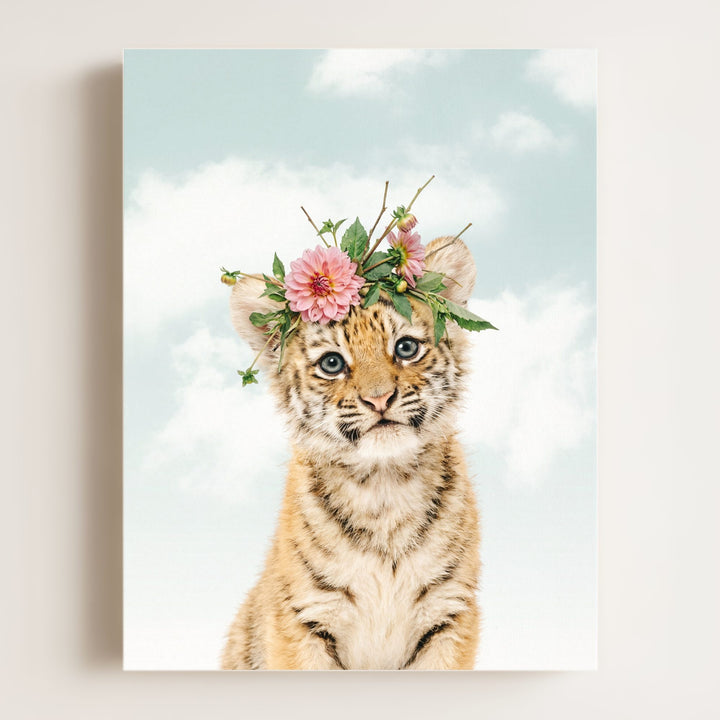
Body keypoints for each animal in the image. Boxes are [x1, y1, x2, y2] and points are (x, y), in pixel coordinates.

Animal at [221, 236, 481, 670]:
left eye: (405, 347)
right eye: (332, 363)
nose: (379, 399)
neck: (384, 485)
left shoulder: (449, 613)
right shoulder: (304, 618)